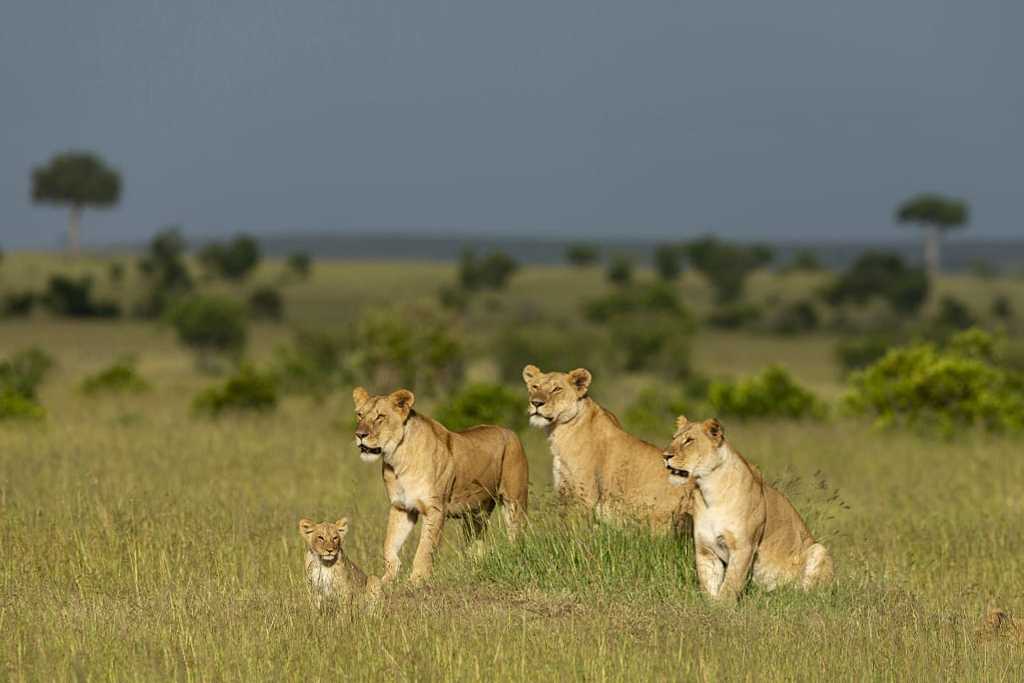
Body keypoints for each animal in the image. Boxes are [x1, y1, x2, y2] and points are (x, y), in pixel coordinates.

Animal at [352, 387, 528, 585]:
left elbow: (424, 549)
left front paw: (417, 580)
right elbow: (389, 544)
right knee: (477, 542)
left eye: (380, 417)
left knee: (517, 534)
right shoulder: (402, 507)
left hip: (514, 502)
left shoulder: (435, 509)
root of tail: (510, 432)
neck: (397, 458)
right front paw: (387, 578)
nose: (360, 435)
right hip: (475, 514)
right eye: (359, 415)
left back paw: (515, 557)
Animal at [524, 366, 692, 532]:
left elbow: (578, 530)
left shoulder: (586, 494)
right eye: (535, 386)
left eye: (557, 389)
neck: (559, 431)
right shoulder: (564, 490)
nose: (536, 403)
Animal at [663, 417, 831, 602]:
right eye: (673, 438)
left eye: (689, 440)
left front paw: (723, 605)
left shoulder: (744, 546)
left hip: (818, 549)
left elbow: (731, 582)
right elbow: (707, 582)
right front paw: (709, 604)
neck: (709, 489)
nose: (665, 456)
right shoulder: (705, 548)